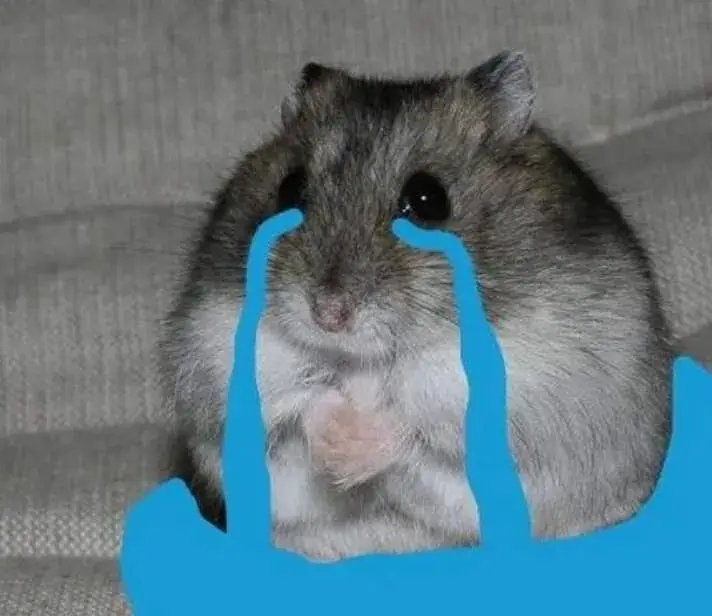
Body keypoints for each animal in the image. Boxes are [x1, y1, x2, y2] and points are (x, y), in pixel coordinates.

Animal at [159, 51, 672, 562]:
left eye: (428, 199)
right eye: (289, 189)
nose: (328, 314)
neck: (363, 364)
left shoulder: (533, 393)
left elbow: (416, 436)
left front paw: (351, 445)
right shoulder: (219, 370)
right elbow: (301, 409)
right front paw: (336, 433)